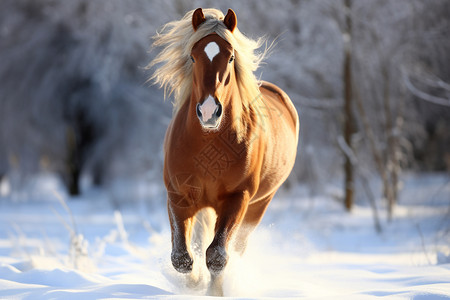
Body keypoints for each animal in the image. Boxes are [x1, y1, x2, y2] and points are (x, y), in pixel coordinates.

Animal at [150, 7, 298, 282]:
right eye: (193, 57)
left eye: (230, 58)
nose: (209, 112)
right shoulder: (178, 195)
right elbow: (182, 258)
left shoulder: (237, 198)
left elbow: (217, 256)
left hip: (259, 205)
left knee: (235, 248)